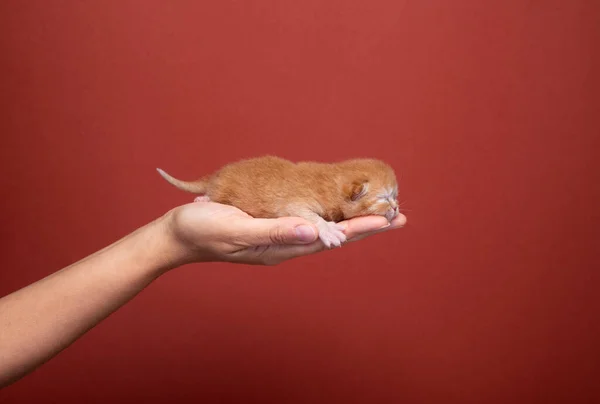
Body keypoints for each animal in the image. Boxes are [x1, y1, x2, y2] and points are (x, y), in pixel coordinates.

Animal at [158, 155, 398, 248]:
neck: (332, 181)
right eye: (385, 198)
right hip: (222, 191)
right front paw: (329, 230)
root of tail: (217, 175)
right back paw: (204, 197)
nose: (396, 208)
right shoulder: (295, 202)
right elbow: (309, 215)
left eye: (395, 196)